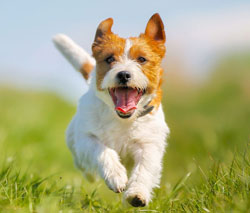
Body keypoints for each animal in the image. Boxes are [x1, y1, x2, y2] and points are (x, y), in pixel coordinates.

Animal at [52, 13, 170, 206]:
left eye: (142, 59)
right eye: (109, 59)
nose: (123, 74)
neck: (122, 118)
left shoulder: (149, 144)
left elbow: (144, 168)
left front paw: (137, 193)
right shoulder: (86, 138)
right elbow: (103, 151)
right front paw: (116, 176)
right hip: (74, 142)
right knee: (83, 164)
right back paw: (91, 174)